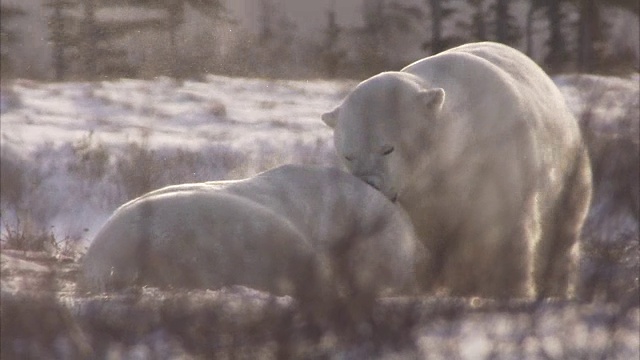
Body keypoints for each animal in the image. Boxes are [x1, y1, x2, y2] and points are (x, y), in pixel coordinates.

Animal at [322, 41, 592, 300]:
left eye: (387, 148)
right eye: (348, 154)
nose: (369, 183)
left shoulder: (501, 161)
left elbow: (508, 230)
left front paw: (512, 291)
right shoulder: (424, 199)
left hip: (571, 168)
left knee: (564, 228)